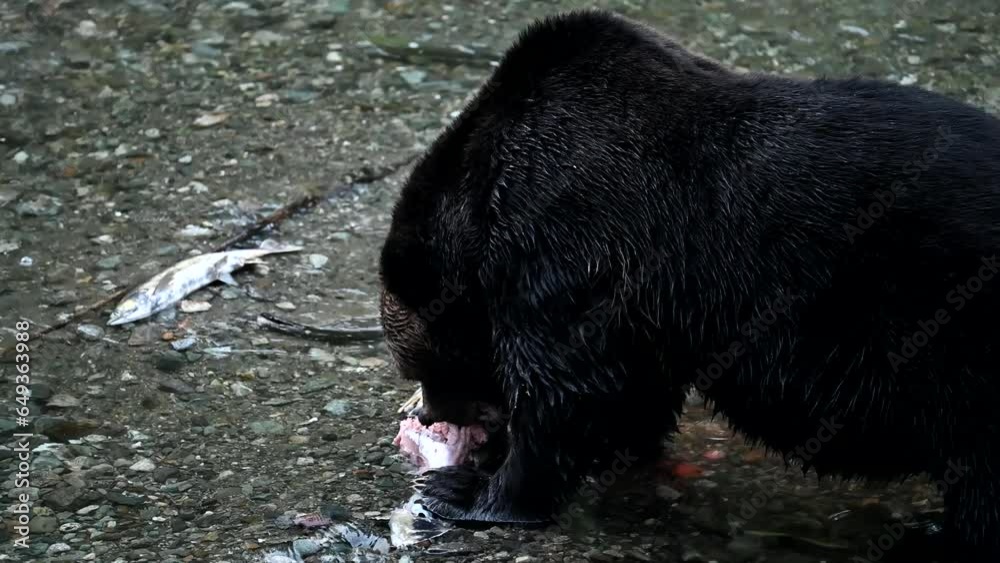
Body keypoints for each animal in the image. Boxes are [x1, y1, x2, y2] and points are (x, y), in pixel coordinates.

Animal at [378, 9, 1000, 560]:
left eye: (424, 366)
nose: (427, 415)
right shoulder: (637, 303)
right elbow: (629, 394)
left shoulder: (560, 241)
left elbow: (567, 393)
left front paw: (469, 490)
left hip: (948, 324)